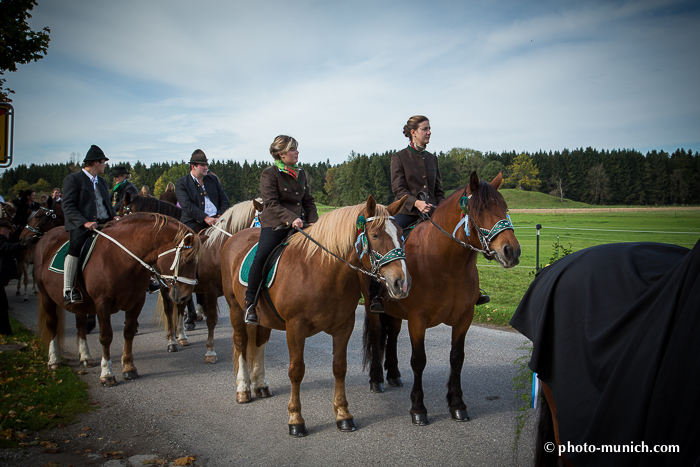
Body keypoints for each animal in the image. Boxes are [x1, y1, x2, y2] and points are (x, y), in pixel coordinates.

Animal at [35, 214, 200, 386]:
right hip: (46, 295)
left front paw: (129, 368)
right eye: (186, 260)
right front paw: (107, 373)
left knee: (80, 324)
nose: (185, 296)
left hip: (81, 304)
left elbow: (129, 332)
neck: (121, 259)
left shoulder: (137, 301)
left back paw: (85, 357)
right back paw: (54, 360)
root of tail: (47, 236)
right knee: (52, 323)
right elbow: (106, 336)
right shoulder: (102, 304)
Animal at [221, 197, 410, 438]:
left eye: (401, 234)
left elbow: (339, 367)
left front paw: (343, 415)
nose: (401, 283)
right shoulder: (295, 328)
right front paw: (296, 420)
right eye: (375, 235)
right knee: (241, 343)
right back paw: (243, 389)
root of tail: (234, 238)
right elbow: (296, 371)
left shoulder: (344, 326)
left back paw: (260, 385)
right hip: (235, 308)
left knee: (259, 342)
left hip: (264, 318)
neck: (321, 270)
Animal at [360, 173, 520, 428]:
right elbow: (419, 360)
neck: (446, 264)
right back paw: (377, 379)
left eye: (504, 208)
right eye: (480, 210)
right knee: (377, 337)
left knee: (392, 335)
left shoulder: (464, 318)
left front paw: (457, 405)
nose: (511, 251)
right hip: (371, 306)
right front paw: (418, 409)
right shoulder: (418, 320)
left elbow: (457, 359)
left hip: (395, 310)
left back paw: (393, 374)